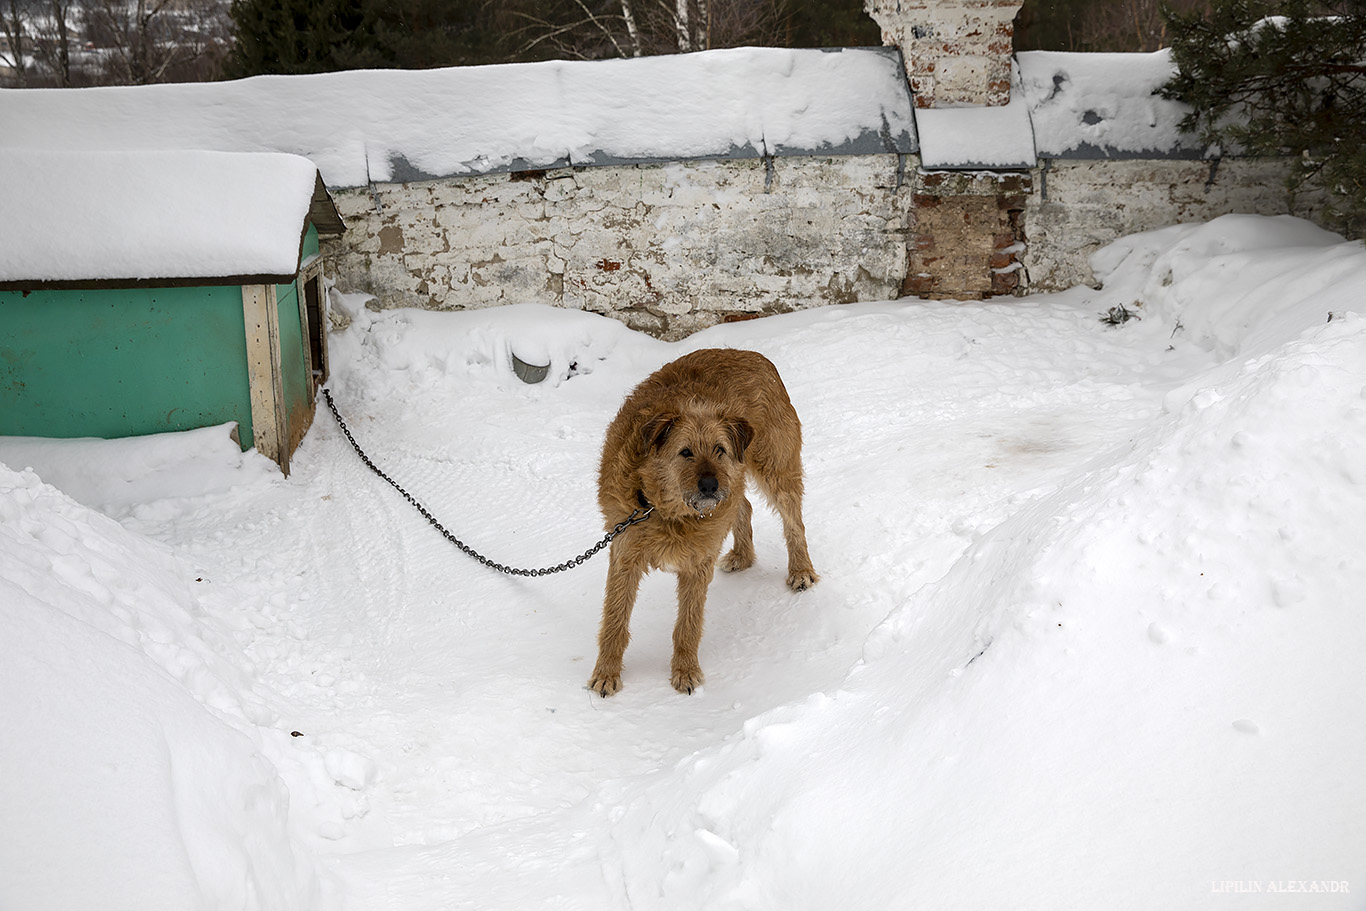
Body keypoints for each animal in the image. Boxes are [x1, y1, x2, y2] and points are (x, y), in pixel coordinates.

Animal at [590, 349, 819, 699]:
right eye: (685, 452)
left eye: (719, 449)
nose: (710, 485)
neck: (661, 507)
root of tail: (755, 356)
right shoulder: (624, 553)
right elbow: (615, 619)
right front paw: (606, 673)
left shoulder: (698, 562)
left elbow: (688, 623)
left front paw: (685, 672)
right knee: (744, 504)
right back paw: (742, 556)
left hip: (776, 470)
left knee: (794, 522)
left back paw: (801, 570)